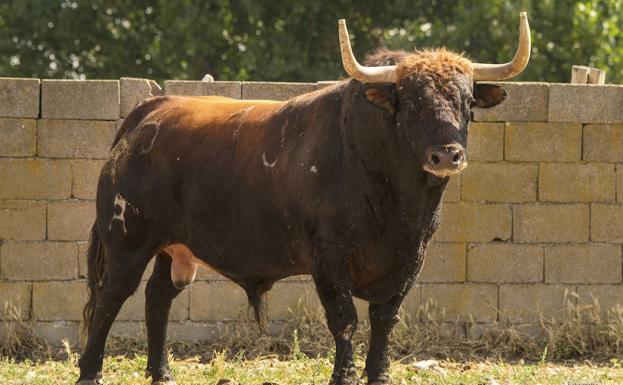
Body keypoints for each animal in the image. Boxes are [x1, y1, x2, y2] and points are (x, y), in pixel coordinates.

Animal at [74, 12, 532, 384]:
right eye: (411, 102)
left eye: (467, 102)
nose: (446, 155)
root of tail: (152, 108)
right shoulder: (329, 260)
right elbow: (344, 320)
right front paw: (344, 376)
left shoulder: (408, 261)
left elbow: (385, 319)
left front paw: (379, 375)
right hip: (127, 243)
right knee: (110, 299)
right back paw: (91, 372)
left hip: (175, 250)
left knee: (158, 299)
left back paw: (162, 373)